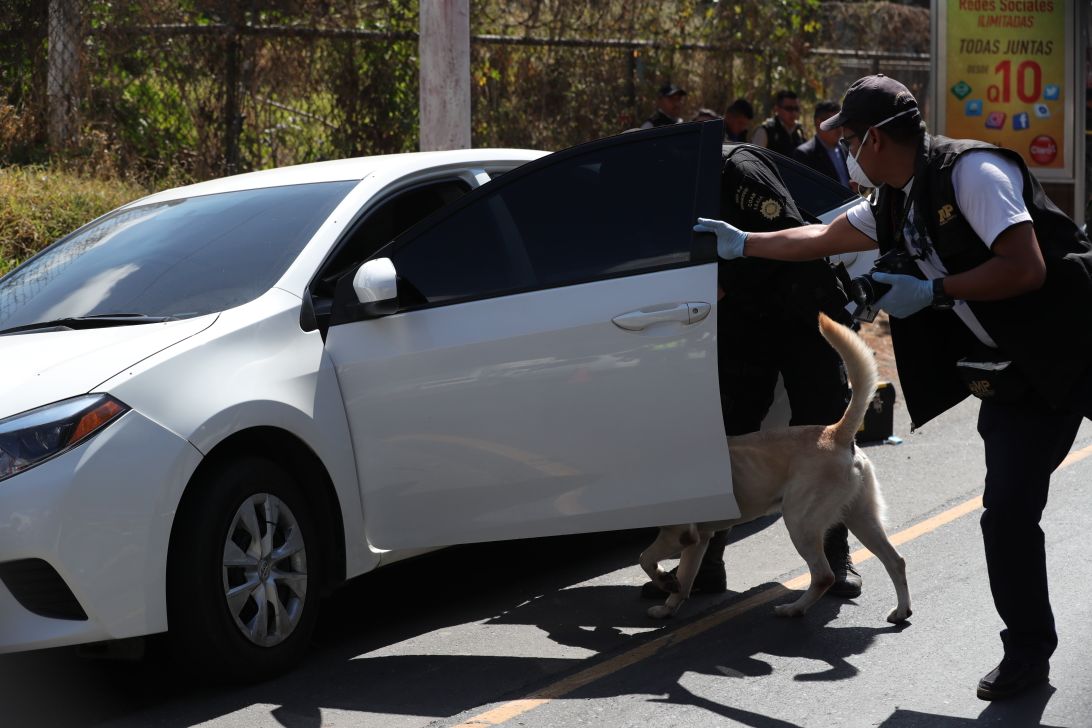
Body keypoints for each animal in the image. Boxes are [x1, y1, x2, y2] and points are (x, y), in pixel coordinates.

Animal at [637, 314, 912, 628]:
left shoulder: (679, 533)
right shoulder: (698, 539)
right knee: (895, 561)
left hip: (800, 522)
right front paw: (668, 607)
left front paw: (663, 582)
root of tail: (836, 433)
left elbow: (645, 559)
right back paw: (901, 611)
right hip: (861, 517)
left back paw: (794, 609)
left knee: (824, 575)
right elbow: (683, 579)